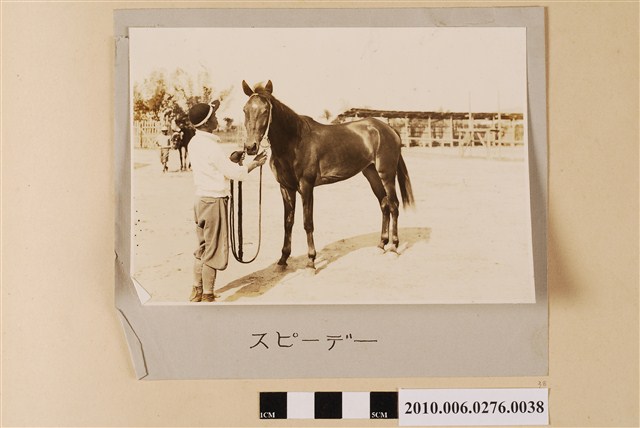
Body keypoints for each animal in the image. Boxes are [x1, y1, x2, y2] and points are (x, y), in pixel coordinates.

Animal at [242, 80, 415, 271]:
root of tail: (389, 129)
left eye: (265, 110)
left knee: (394, 206)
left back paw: (393, 248)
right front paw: (283, 259)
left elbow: (307, 223)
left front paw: (311, 261)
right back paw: (381, 245)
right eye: (245, 110)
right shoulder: (286, 188)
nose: (250, 147)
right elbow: (288, 223)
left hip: (386, 174)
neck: (294, 142)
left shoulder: (306, 187)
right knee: (384, 205)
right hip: (371, 173)